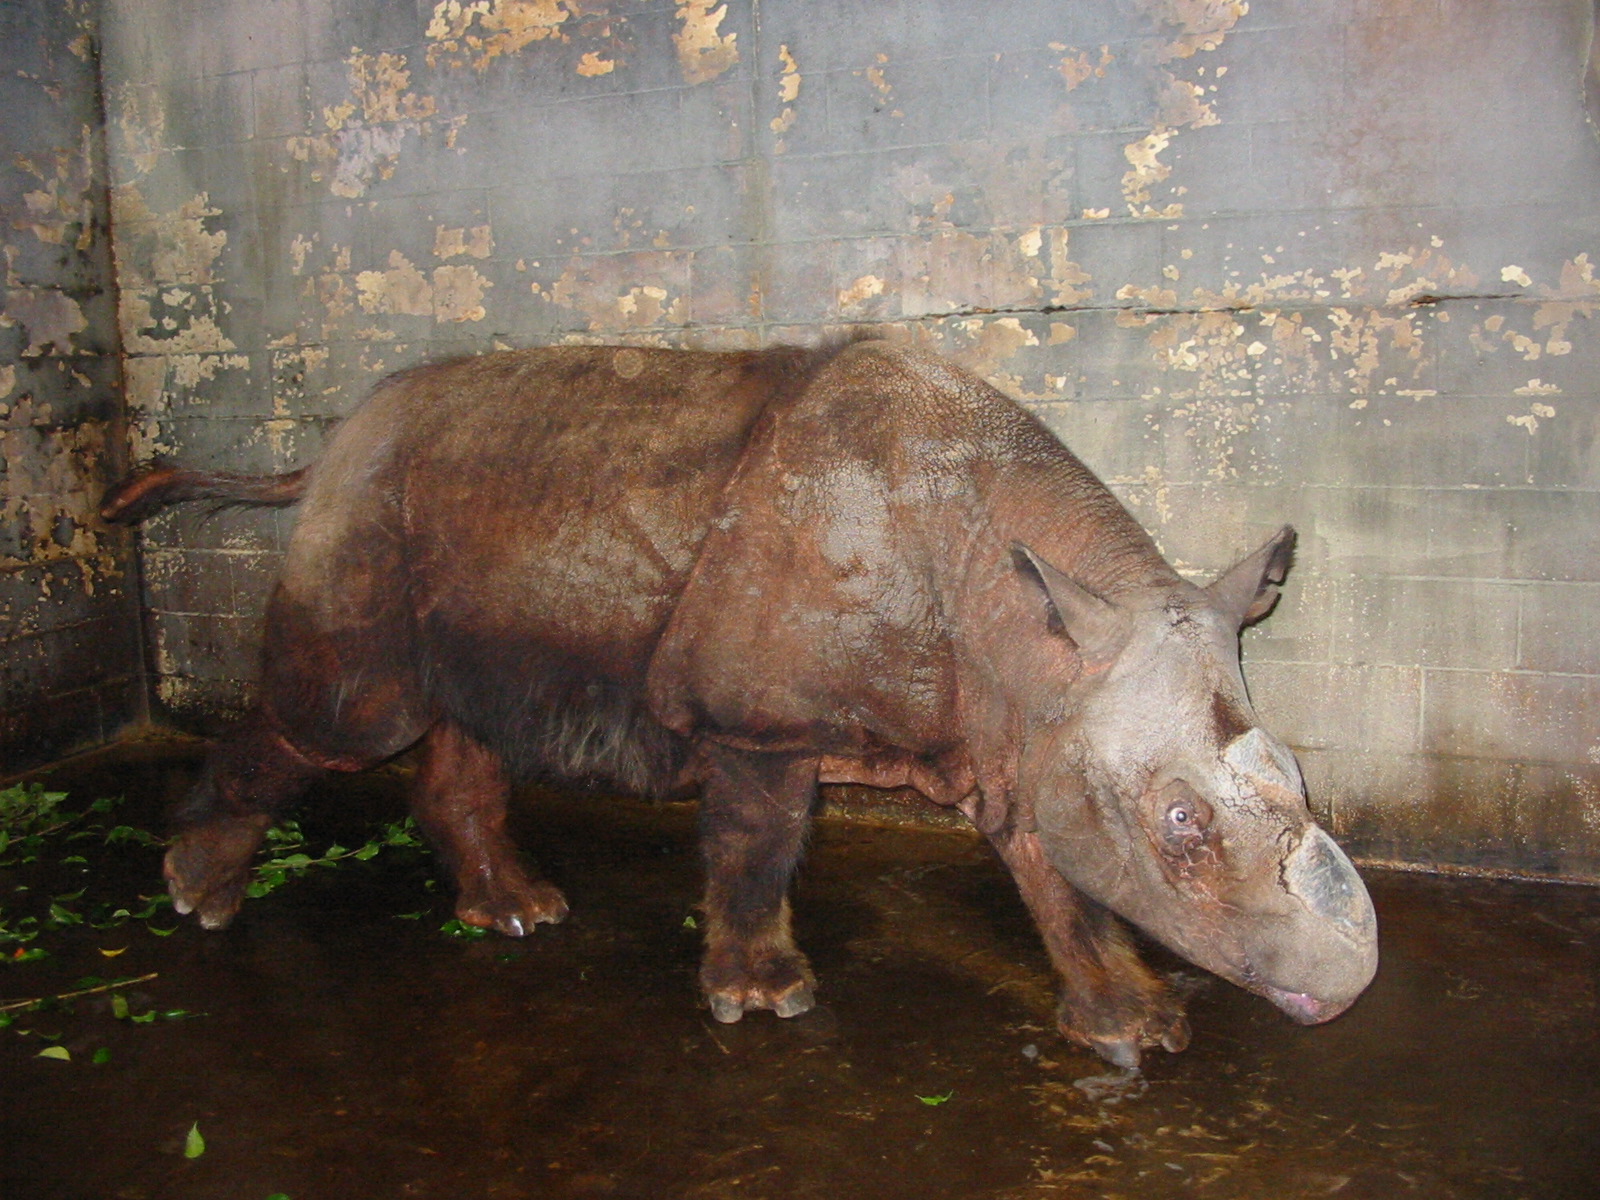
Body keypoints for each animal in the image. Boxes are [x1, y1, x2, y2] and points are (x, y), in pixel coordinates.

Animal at [103, 338, 1377, 1068]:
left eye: (1304, 783)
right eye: (1182, 826)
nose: (1346, 987)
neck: (1020, 614)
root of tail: (326, 443)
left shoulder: (1028, 723)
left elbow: (1054, 874)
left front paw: (1134, 1029)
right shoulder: (763, 720)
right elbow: (758, 844)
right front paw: (763, 1003)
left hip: (470, 498)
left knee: (463, 712)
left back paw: (520, 916)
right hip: (371, 502)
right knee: (346, 720)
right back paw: (199, 895)